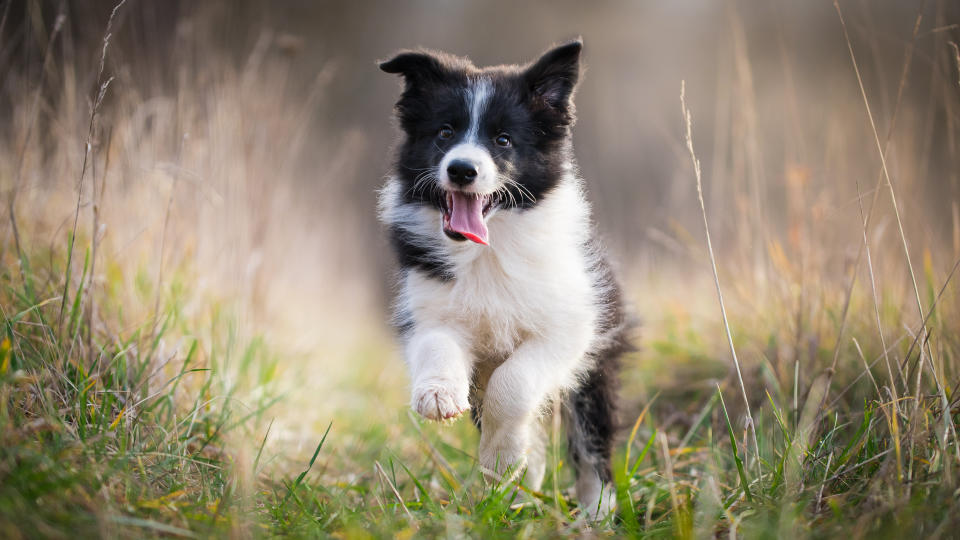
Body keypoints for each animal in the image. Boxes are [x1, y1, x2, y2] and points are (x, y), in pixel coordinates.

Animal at [378, 38, 632, 520]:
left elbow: (513, 385)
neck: (488, 249)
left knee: (591, 438)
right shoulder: (428, 306)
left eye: (503, 140)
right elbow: (437, 343)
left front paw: (503, 456)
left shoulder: (572, 326)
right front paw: (438, 396)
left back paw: (596, 509)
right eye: (445, 132)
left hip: (597, 364)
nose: (461, 169)